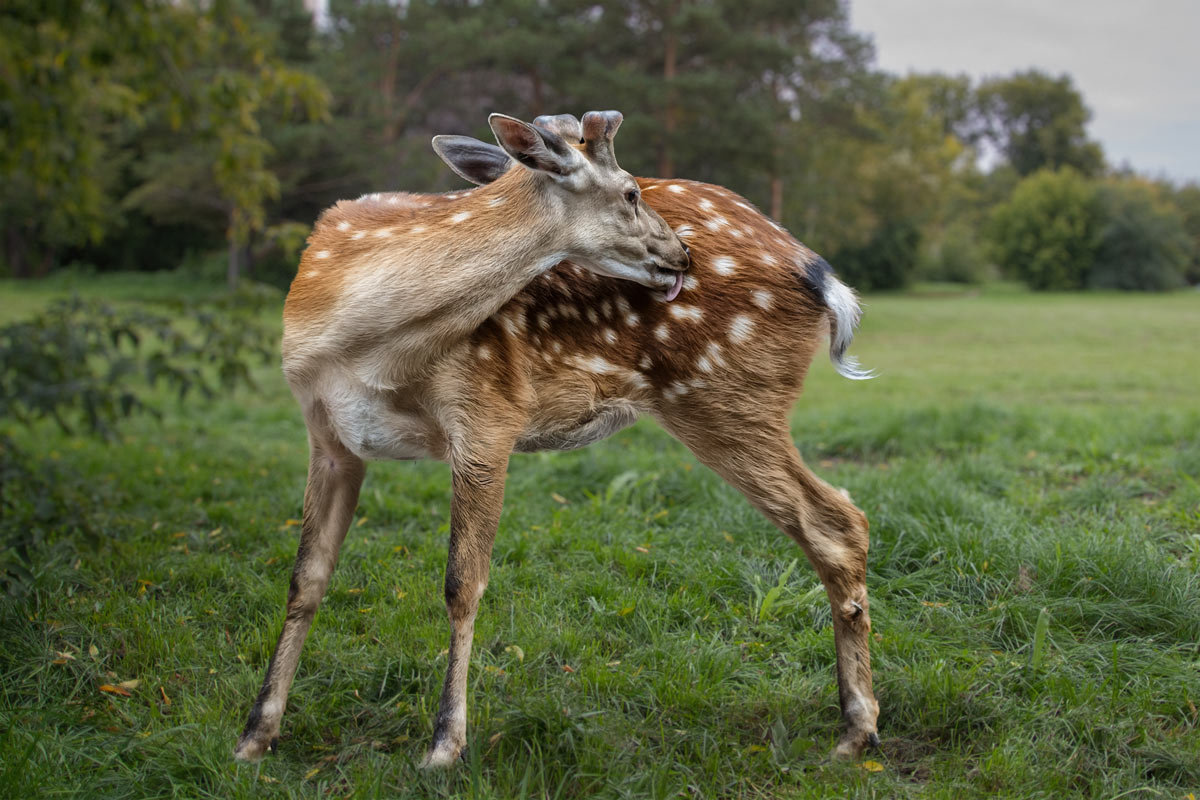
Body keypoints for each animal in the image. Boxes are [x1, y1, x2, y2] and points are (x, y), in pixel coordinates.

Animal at [231, 109, 883, 767]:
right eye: (631, 192)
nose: (682, 253)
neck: (361, 343)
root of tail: (819, 273)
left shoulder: (486, 413)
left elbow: (462, 584)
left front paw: (444, 746)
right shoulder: (327, 435)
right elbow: (305, 579)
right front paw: (255, 734)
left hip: (725, 397)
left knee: (838, 521)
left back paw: (857, 729)